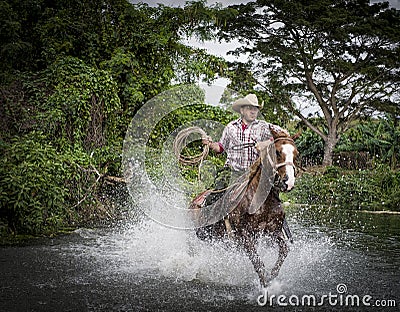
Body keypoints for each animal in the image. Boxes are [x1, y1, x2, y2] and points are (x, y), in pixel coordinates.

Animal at [189, 129, 298, 288]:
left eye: (296, 154)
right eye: (277, 152)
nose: (288, 182)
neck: (261, 200)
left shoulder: (274, 231)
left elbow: (284, 251)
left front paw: (272, 276)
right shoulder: (244, 234)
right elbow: (258, 263)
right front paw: (265, 285)